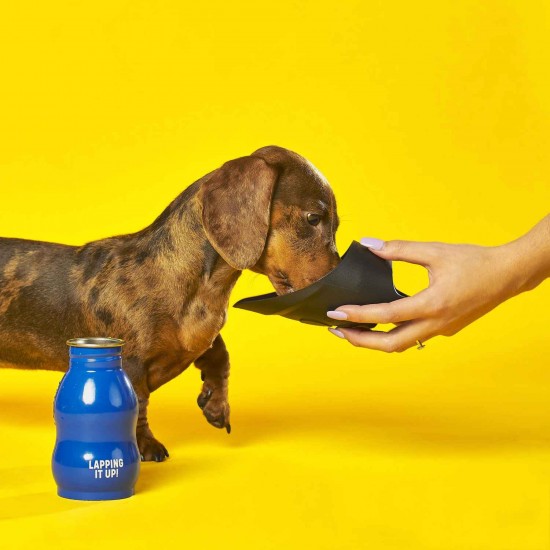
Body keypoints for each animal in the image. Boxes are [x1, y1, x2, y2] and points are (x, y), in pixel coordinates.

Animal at [0, 146, 340, 462]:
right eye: (313, 218)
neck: (201, 288)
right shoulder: (130, 361)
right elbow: (138, 402)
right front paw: (146, 444)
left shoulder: (203, 337)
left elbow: (221, 356)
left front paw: (215, 403)